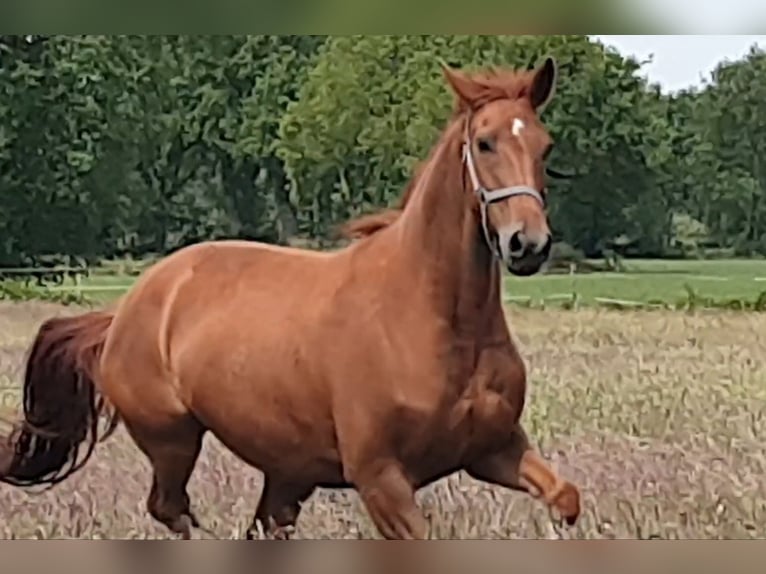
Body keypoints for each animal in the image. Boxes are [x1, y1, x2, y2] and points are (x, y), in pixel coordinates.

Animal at [0, 57, 584, 540]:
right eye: (485, 142)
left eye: (545, 146)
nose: (528, 244)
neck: (435, 319)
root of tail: (125, 310)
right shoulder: (381, 478)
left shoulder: (494, 449)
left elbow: (567, 499)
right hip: (172, 439)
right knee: (171, 509)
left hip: (286, 473)